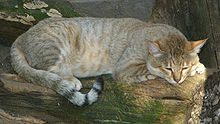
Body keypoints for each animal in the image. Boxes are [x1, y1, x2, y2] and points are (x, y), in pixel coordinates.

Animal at [9, 17, 206, 106]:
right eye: (168, 68)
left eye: (184, 66)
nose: (178, 80)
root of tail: (22, 36)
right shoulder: (124, 68)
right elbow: (147, 70)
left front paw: (197, 66)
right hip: (60, 41)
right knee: (46, 70)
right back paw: (70, 80)